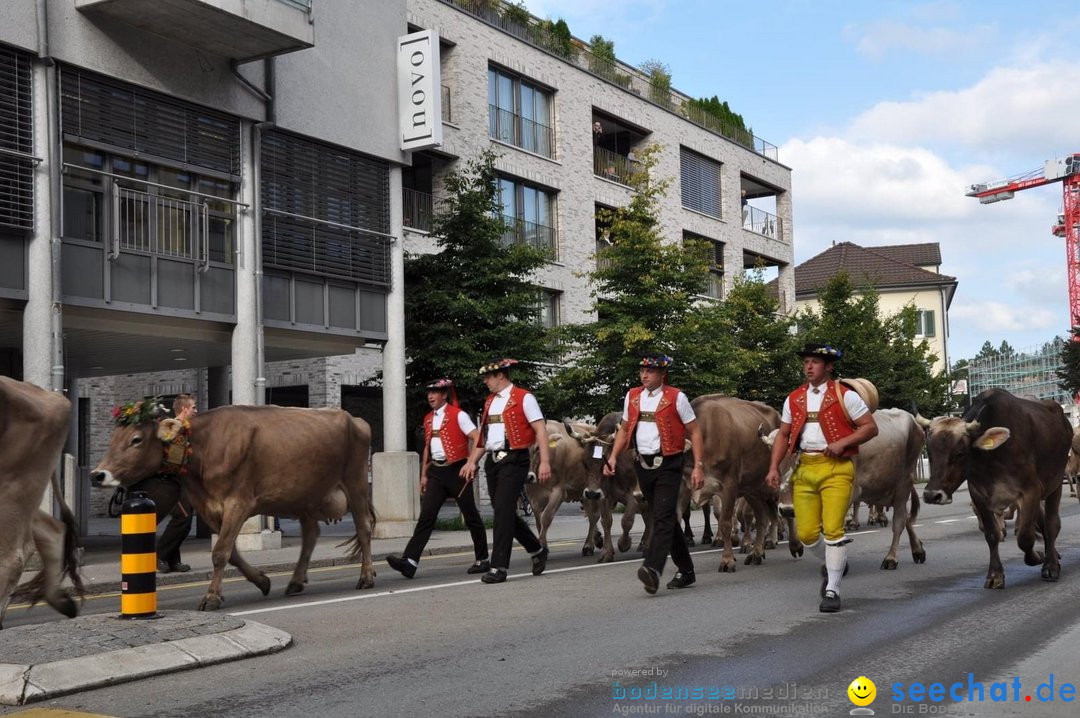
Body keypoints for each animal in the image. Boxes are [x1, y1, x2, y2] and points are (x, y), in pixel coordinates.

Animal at [93, 405, 380, 608]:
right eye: (114, 437)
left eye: (136, 439)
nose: (98, 474)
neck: (202, 447)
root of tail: (355, 419)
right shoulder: (207, 507)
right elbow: (230, 552)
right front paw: (262, 581)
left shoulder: (238, 502)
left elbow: (220, 552)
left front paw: (211, 597)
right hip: (305, 496)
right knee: (311, 534)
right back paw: (296, 581)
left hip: (355, 484)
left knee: (364, 528)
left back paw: (366, 577)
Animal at [915, 388, 1067, 587]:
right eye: (930, 453)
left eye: (960, 453)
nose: (932, 495)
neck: (991, 459)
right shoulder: (979, 496)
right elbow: (992, 535)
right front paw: (995, 575)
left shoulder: (1031, 491)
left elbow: (1025, 537)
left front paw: (1037, 557)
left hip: (1055, 484)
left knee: (1051, 524)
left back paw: (1051, 565)